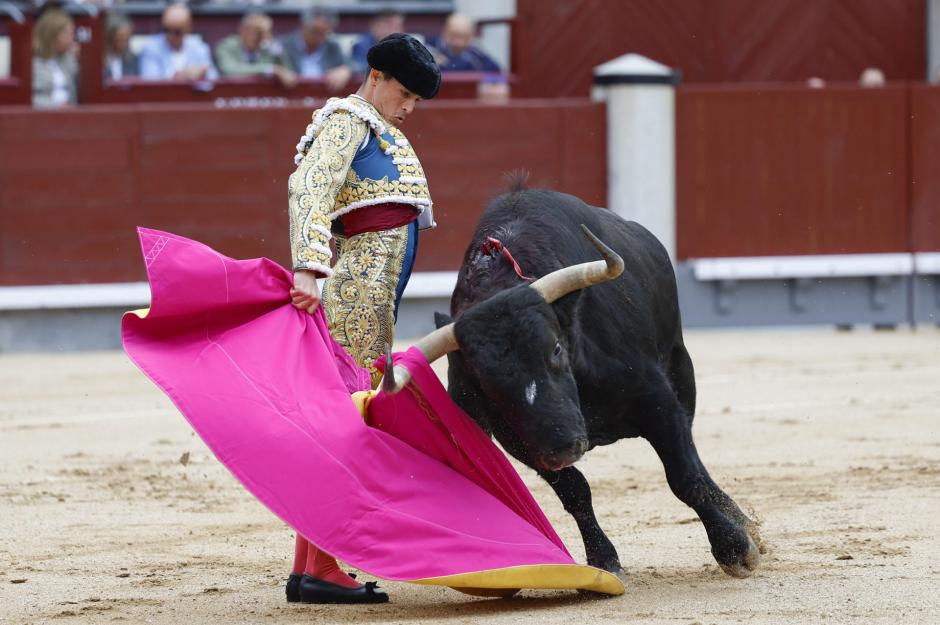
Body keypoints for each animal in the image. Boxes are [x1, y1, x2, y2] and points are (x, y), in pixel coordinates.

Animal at [390, 186, 764, 580]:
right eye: (485, 378)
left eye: (555, 347)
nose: (565, 446)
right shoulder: (519, 438)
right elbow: (575, 490)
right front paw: (603, 560)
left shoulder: (656, 397)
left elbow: (685, 476)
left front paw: (735, 548)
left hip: (681, 367)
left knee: (695, 459)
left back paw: (740, 522)